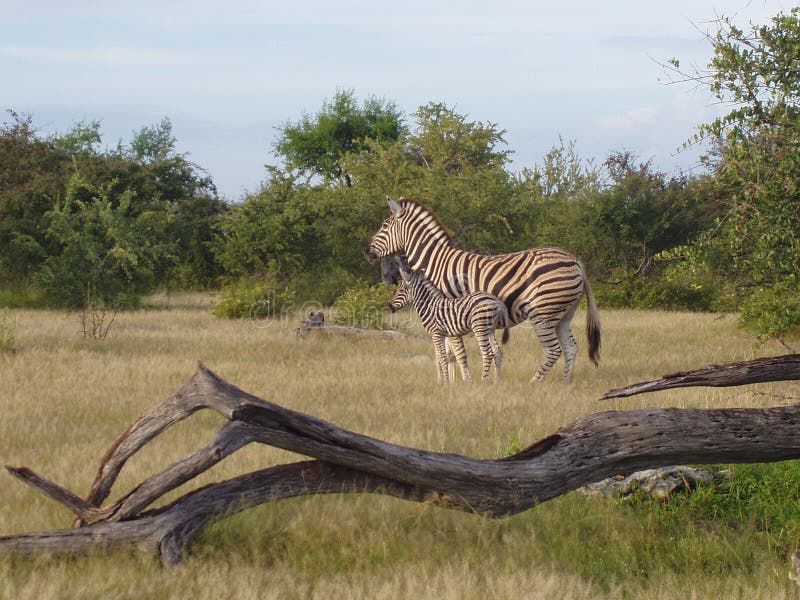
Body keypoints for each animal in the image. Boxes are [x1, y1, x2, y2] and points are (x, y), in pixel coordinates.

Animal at [364, 197, 600, 384]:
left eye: (385, 225)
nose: (366, 252)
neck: (436, 263)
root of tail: (575, 261)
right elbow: (451, 354)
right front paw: (454, 382)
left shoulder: (446, 311)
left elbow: (450, 353)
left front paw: (452, 382)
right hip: (564, 314)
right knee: (571, 347)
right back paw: (565, 382)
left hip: (543, 313)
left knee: (554, 350)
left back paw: (534, 382)